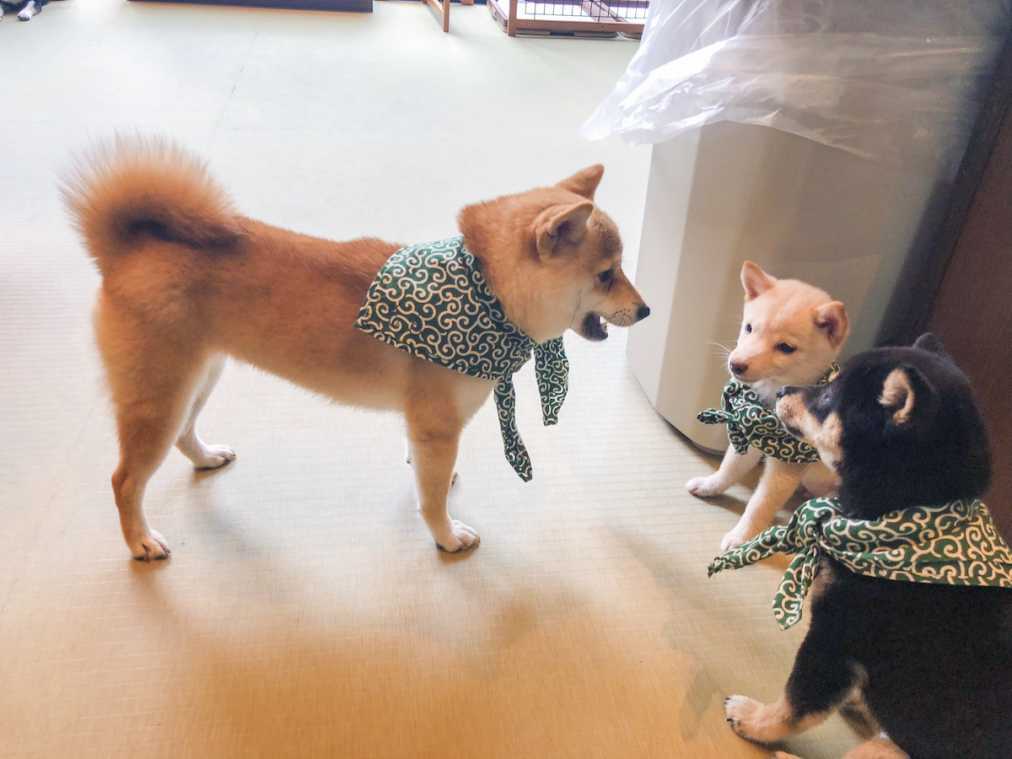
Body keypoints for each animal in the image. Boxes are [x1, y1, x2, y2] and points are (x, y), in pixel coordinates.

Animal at [63, 139, 647, 562]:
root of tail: (127, 249)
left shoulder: (424, 427)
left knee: (185, 435)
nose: (645, 312)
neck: (485, 292)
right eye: (606, 274)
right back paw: (139, 540)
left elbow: (426, 473)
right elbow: (432, 499)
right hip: (159, 397)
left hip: (198, 378)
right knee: (124, 480)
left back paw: (206, 458)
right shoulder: (437, 426)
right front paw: (447, 536)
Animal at [688, 263, 846, 554]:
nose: (735, 364)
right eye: (749, 328)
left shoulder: (784, 469)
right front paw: (710, 485)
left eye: (785, 347)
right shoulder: (749, 435)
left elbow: (759, 506)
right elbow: (727, 470)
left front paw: (741, 538)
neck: (770, 402)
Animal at [724, 338, 1007, 759]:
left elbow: (795, 705)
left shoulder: (835, 637)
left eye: (828, 397)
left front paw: (754, 720)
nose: (783, 391)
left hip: (882, 750)